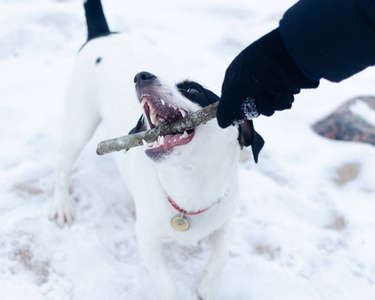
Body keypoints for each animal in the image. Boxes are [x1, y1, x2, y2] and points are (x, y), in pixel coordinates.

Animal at [50, 1, 264, 298]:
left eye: (194, 90)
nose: (141, 75)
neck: (190, 186)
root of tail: (103, 34)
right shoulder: (147, 240)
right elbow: (168, 284)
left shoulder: (222, 224)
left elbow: (222, 254)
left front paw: (208, 285)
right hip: (79, 123)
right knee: (62, 167)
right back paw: (61, 204)